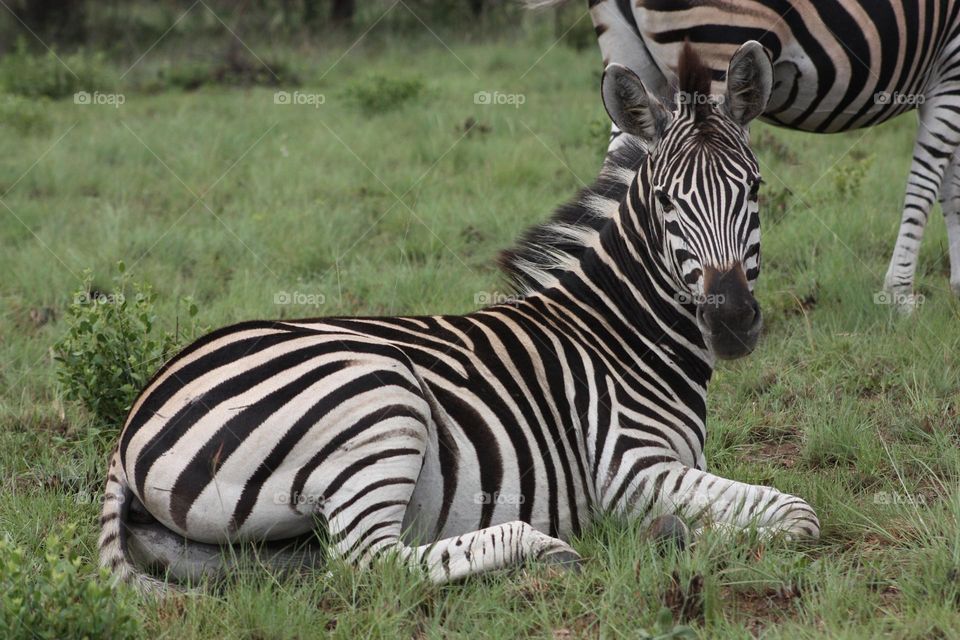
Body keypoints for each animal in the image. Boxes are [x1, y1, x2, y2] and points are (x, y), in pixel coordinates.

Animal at [97, 41, 816, 592]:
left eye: (755, 189)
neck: (621, 333)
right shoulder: (627, 467)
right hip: (378, 397)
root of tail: (133, 418)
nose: (732, 321)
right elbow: (799, 515)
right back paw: (540, 548)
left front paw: (676, 532)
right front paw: (690, 537)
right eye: (667, 200)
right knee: (367, 562)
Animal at [532, 0, 960, 310]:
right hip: (717, 43)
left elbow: (951, 186)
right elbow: (930, 180)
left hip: (628, 54)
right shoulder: (952, 61)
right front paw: (900, 297)